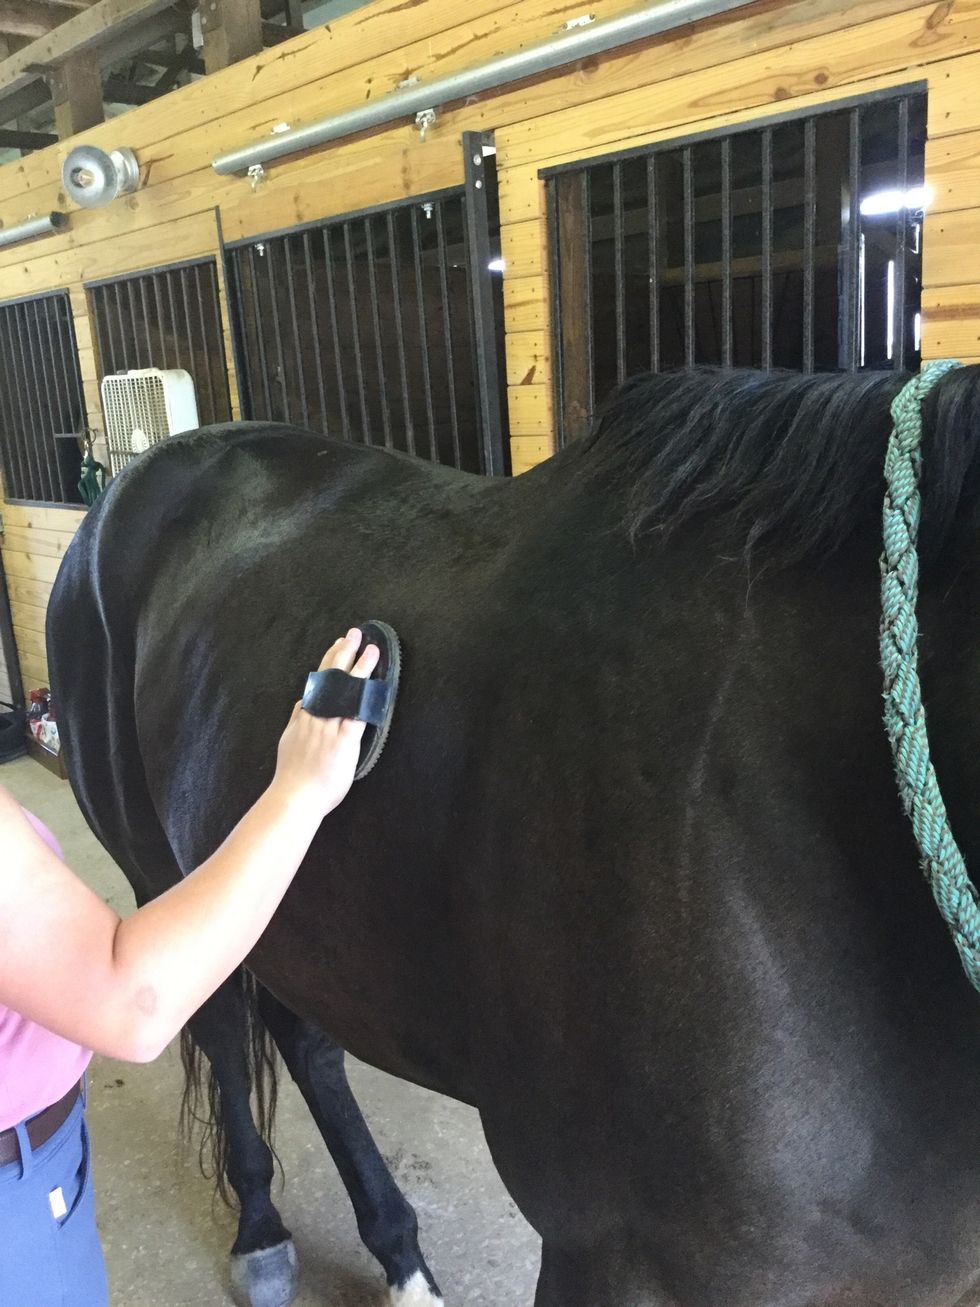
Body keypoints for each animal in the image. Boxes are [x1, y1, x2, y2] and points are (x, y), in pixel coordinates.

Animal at [47, 365, 980, 1307]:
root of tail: (128, 485)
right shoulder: (609, 1257)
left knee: (307, 1040)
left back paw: (399, 1253)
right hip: (161, 872)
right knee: (222, 1032)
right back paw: (264, 1233)